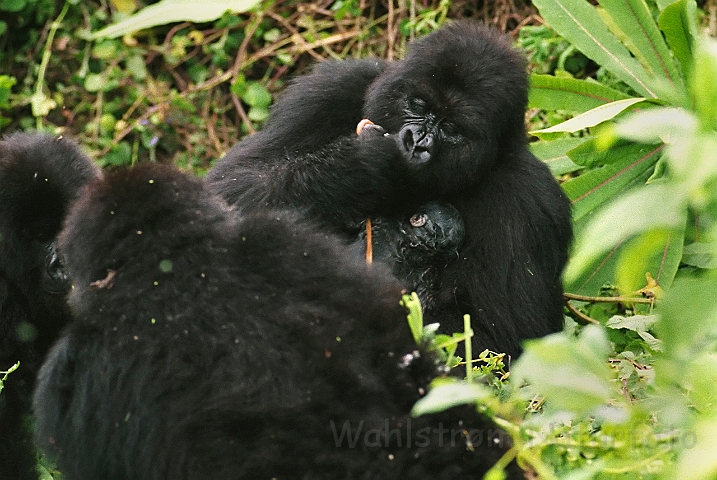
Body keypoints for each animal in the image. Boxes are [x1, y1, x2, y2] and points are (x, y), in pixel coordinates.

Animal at [206, 21, 572, 360]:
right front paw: (362, 168)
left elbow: (498, 343)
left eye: (453, 129)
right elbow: (229, 185)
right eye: (418, 104)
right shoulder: (330, 88)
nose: (418, 143)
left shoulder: (529, 201)